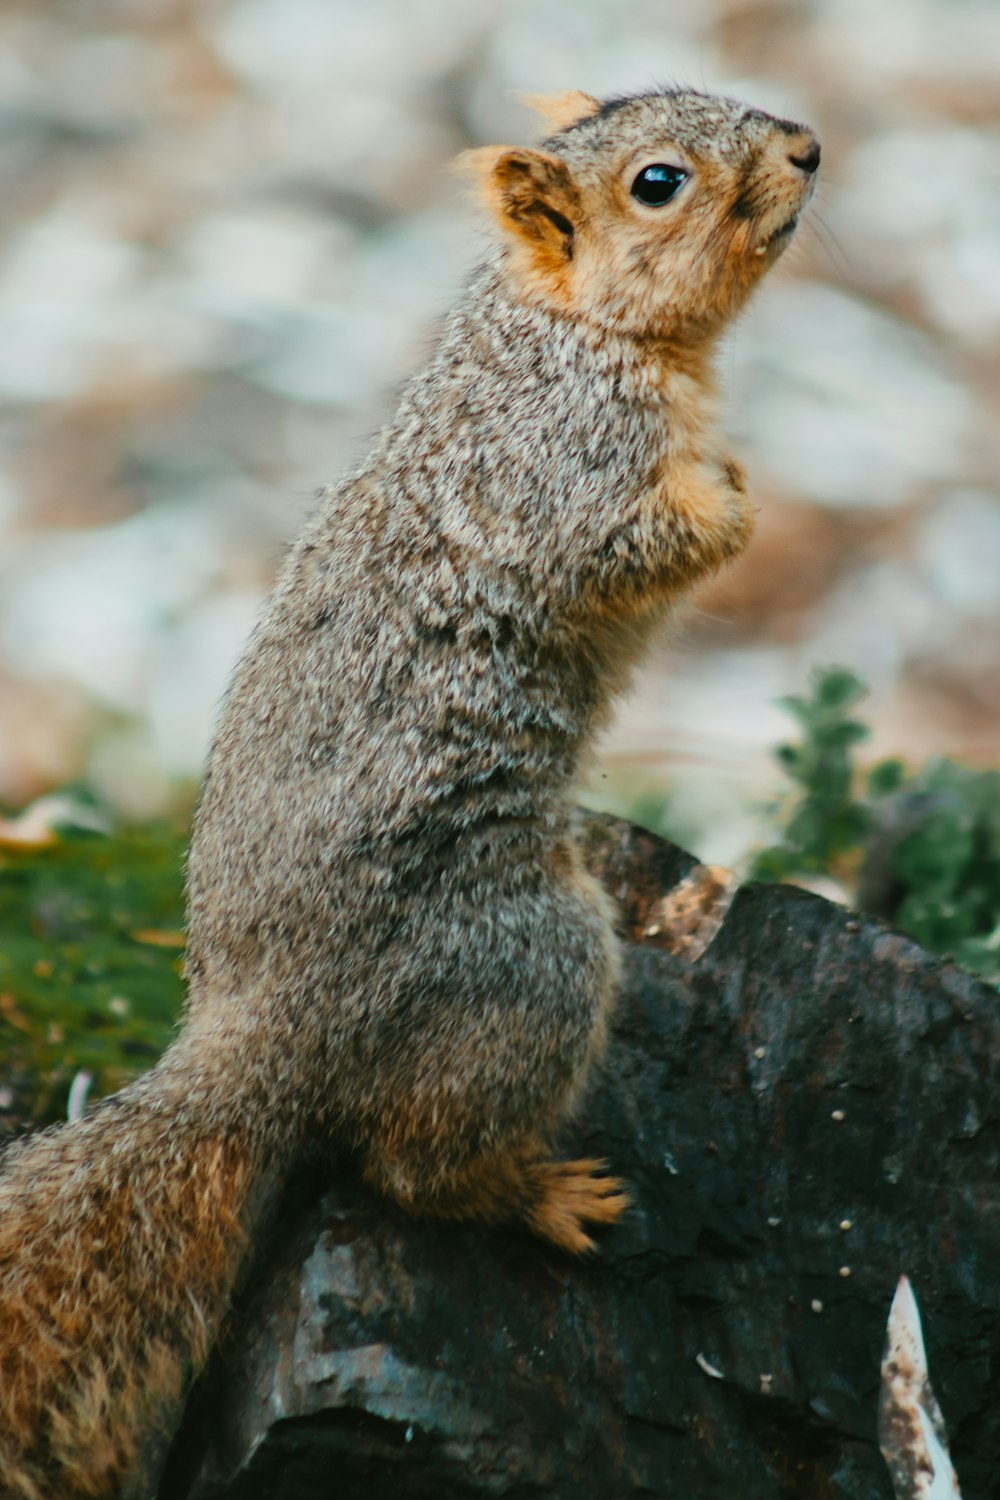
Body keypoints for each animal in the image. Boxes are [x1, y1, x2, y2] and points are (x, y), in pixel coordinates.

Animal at [0, 87, 821, 1494]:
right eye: (659, 182)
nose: (809, 148)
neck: (563, 330)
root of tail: (264, 1033)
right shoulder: (570, 472)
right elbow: (644, 539)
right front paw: (734, 502)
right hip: (526, 966)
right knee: (411, 1167)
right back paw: (547, 1197)